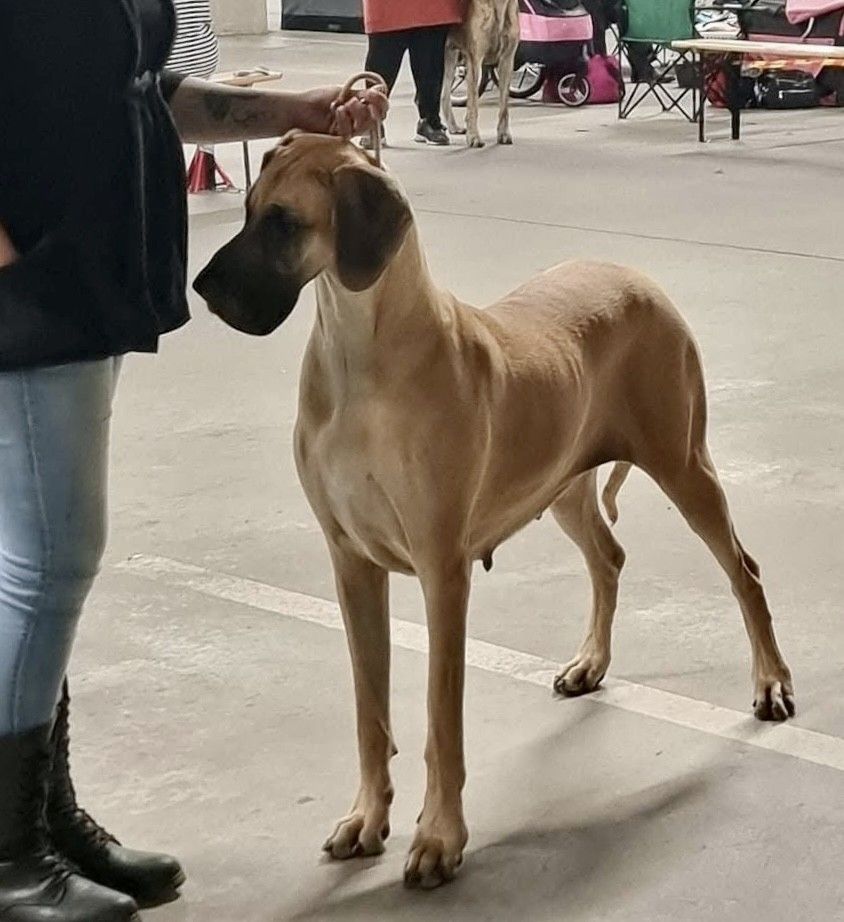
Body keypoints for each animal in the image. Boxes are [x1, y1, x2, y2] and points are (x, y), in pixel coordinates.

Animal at [194, 133, 795, 890]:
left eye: (282, 222)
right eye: (246, 209)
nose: (201, 289)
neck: (360, 357)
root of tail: (639, 276)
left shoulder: (441, 570)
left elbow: (438, 719)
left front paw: (439, 837)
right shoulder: (352, 563)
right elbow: (370, 711)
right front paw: (368, 818)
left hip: (685, 465)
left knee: (744, 570)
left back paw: (771, 682)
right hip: (563, 484)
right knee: (609, 557)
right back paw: (590, 662)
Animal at [442, 0, 520, 147]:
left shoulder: (507, 60)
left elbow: (504, 106)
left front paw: (504, 134)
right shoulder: (474, 60)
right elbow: (473, 105)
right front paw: (474, 137)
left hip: (450, 56)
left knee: (444, 95)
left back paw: (453, 127)